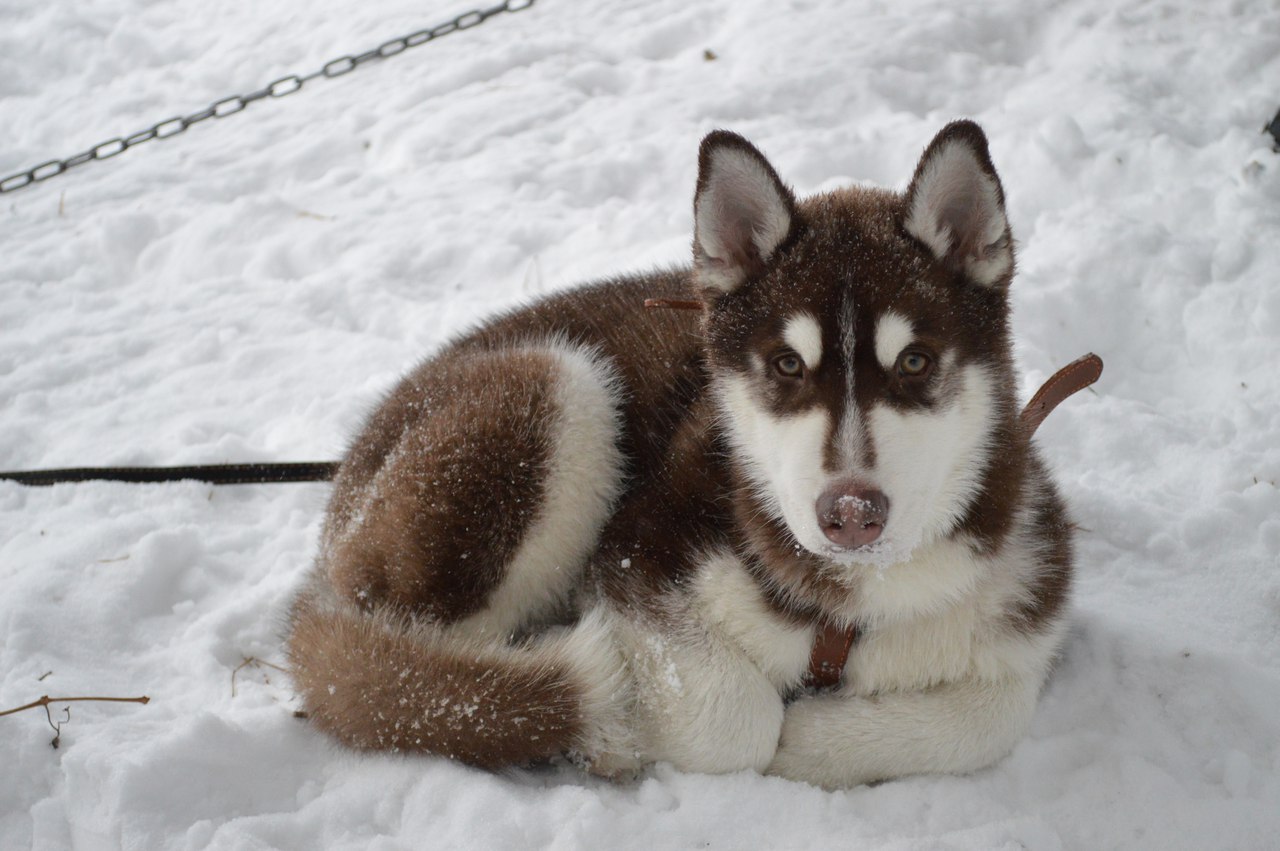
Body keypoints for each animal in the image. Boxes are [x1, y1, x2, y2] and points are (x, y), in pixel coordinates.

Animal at [288, 120, 1070, 788]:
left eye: (914, 361)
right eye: (786, 364)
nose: (851, 513)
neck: (846, 607)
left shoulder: (1027, 593)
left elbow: (996, 714)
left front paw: (826, 738)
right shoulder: (637, 553)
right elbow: (741, 721)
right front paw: (665, 729)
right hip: (558, 389)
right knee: (420, 679)